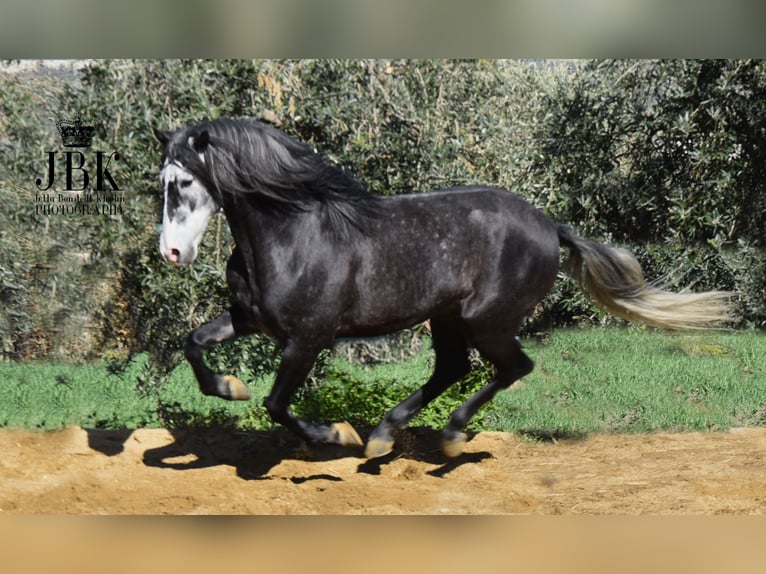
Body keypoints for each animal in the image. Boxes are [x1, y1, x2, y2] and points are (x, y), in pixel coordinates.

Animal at [152, 118, 733, 459]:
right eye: (163, 181)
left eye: (182, 182)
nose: (172, 253)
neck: (293, 233)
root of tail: (550, 226)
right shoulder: (250, 319)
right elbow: (194, 345)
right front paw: (230, 387)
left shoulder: (309, 337)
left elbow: (275, 403)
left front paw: (335, 434)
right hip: (448, 316)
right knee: (454, 369)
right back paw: (384, 437)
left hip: (485, 318)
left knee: (510, 367)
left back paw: (447, 438)